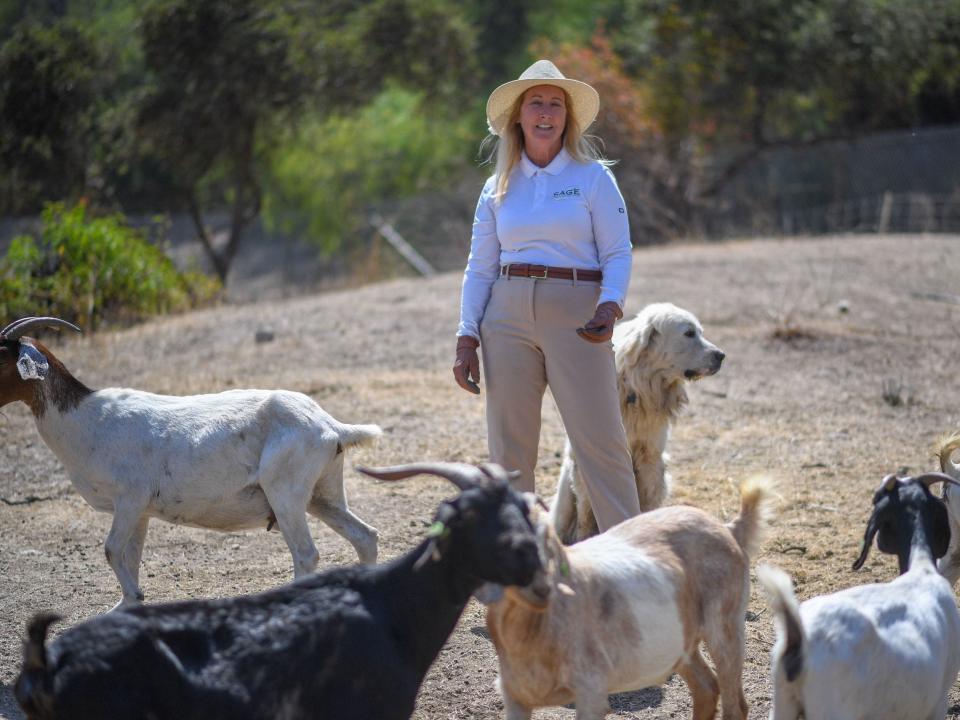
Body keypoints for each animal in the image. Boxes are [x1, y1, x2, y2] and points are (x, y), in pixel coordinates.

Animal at [0, 316, 382, 608]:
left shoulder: (129, 499)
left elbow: (110, 550)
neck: (86, 419)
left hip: (285, 495)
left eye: (0, 359)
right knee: (364, 536)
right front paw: (128, 604)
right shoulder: (140, 512)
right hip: (323, 495)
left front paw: (134, 598)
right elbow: (129, 557)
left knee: (306, 554)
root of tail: (330, 425)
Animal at [484, 476, 768, 716]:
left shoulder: (591, 692)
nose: (540, 585)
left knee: (735, 704)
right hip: (677, 641)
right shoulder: (514, 697)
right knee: (706, 687)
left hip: (724, 628)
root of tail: (727, 528)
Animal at [552, 300, 724, 544]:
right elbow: (586, 510)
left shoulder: (651, 458)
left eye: (700, 332)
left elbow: (647, 502)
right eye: (689, 333)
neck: (639, 387)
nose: (722, 355)